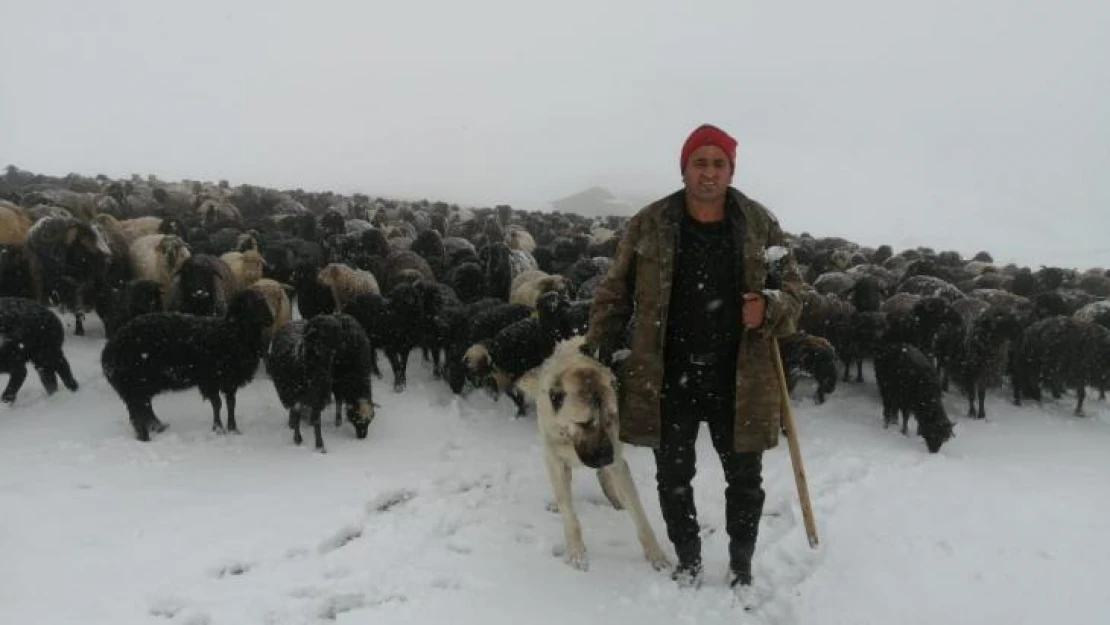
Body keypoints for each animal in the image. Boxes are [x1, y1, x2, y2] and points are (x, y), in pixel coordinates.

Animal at [101, 290, 274, 441]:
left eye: (264, 300)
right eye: (250, 303)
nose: (270, 319)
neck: (232, 333)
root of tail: (108, 351)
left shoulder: (229, 380)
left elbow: (231, 404)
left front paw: (233, 429)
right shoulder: (210, 380)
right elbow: (217, 404)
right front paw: (218, 429)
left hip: (139, 386)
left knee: (144, 407)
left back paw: (158, 427)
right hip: (135, 384)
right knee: (138, 412)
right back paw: (145, 436)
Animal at [265, 315, 377, 452]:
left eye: (370, 420)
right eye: (356, 419)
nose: (362, 437)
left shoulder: (320, 394)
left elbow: (317, 419)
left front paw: (319, 444)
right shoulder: (334, 383)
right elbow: (336, 403)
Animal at [517, 337, 666, 572]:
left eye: (610, 418)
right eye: (584, 423)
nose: (606, 458)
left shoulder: (617, 460)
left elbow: (639, 514)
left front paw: (656, 555)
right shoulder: (556, 459)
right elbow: (570, 515)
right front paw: (576, 555)